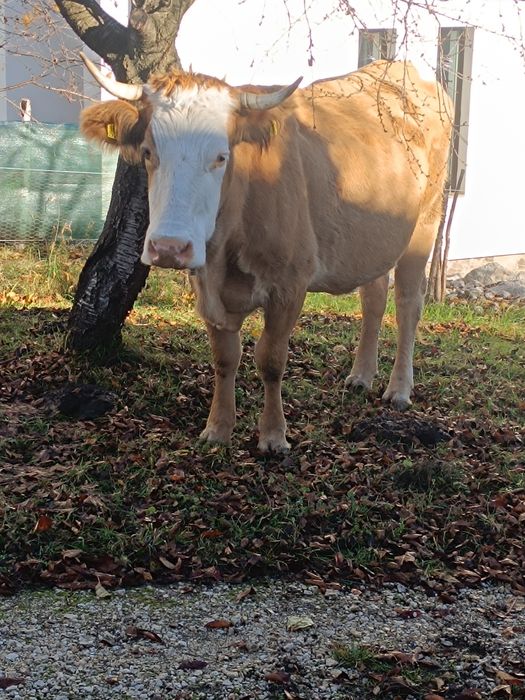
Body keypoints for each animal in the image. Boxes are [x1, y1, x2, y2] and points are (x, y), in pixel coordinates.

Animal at [80, 54, 452, 452]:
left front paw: (274, 435)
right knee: (374, 297)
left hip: (425, 225)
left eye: (221, 156)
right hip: (371, 243)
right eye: (149, 152)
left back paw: (399, 389)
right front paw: (218, 429)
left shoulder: (289, 285)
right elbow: (225, 358)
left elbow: (271, 359)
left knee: (408, 305)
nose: (169, 247)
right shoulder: (207, 287)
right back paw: (361, 376)